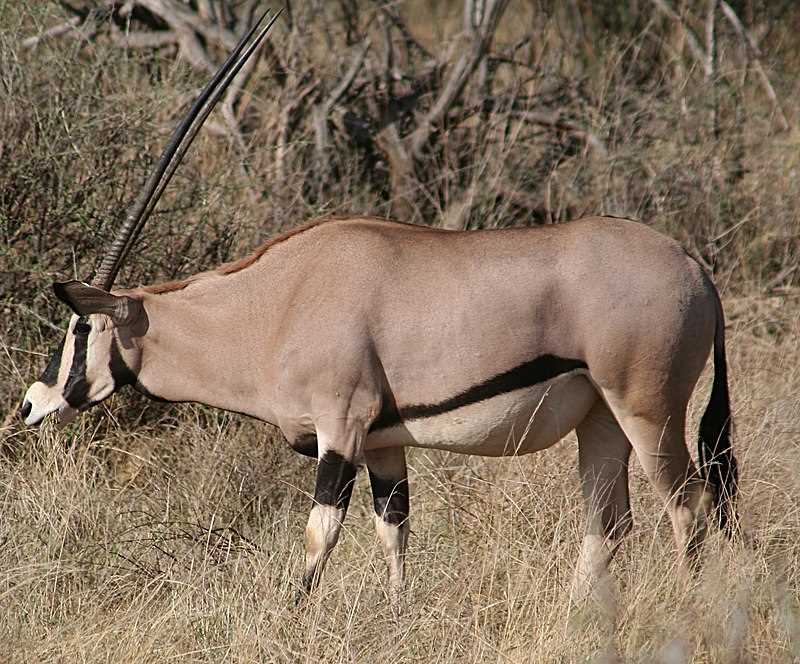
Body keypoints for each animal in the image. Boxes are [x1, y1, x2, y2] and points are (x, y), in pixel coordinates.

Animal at [20, 7, 736, 608]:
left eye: (82, 326)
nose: (31, 404)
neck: (277, 304)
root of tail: (694, 267)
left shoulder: (341, 429)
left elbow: (321, 533)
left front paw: (295, 616)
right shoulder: (385, 446)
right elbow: (393, 528)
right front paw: (397, 612)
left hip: (648, 412)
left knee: (689, 505)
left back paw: (687, 608)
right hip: (601, 420)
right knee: (609, 521)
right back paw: (576, 615)